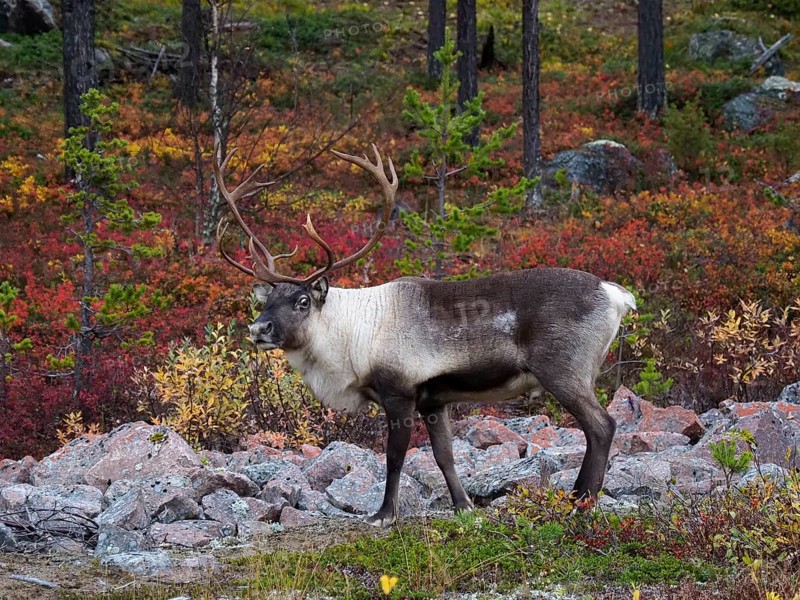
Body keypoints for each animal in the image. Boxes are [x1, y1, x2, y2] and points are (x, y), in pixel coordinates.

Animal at [215, 144, 637, 527]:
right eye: (267, 300)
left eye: (302, 300)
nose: (259, 328)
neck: (351, 340)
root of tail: (616, 294)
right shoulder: (435, 401)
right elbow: (444, 456)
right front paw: (464, 507)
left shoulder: (399, 393)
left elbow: (394, 457)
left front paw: (383, 515)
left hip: (564, 370)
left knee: (602, 426)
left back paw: (579, 503)